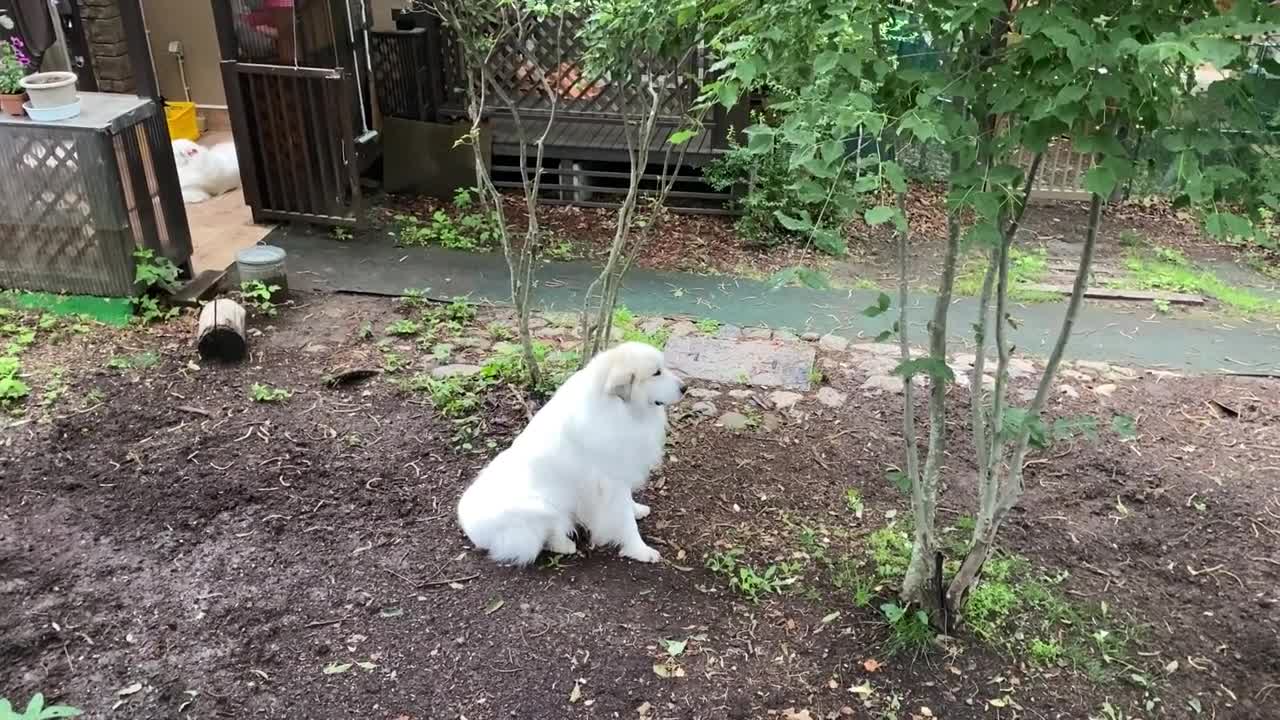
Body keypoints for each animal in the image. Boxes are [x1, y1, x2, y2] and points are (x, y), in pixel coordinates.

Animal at [458, 338, 686, 563]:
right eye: (656, 373)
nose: (685, 388)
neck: (619, 408)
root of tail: (470, 529)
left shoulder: (622, 473)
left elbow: (627, 504)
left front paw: (636, 509)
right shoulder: (612, 483)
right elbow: (625, 521)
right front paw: (641, 550)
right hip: (538, 509)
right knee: (546, 536)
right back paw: (565, 545)